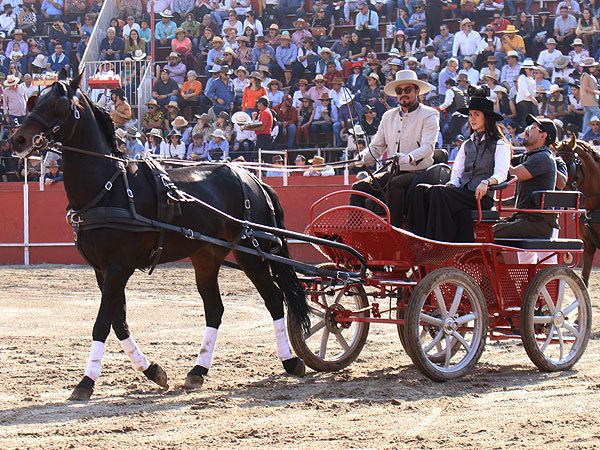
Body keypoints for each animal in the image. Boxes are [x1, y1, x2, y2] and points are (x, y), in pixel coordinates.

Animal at [12, 70, 312, 400]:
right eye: (35, 99)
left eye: (61, 104)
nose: (17, 138)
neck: (108, 188)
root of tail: (252, 179)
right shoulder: (101, 270)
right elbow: (119, 322)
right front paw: (153, 371)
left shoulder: (118, 267)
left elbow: (102, 323)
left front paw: (86, 382)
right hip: (206, 257)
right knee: (215, 309)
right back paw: (198, 371)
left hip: (251, 253)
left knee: (273, 299)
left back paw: (290, 361)